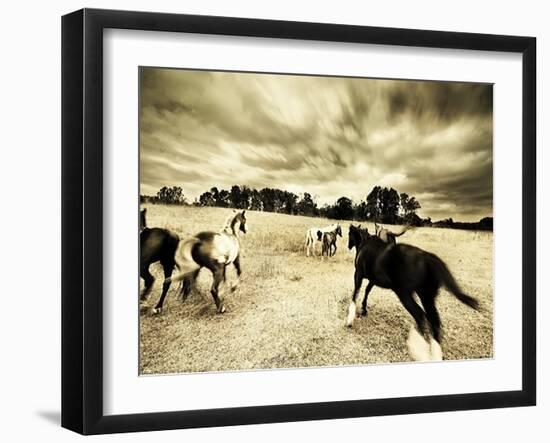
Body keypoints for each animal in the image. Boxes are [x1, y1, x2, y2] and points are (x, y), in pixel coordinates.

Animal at [348, 224, 480, 362]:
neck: (365, 244)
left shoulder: (358, 274)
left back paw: (419, 349)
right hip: (426, 296)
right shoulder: (372, 279)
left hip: (405, 294)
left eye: (349, 234)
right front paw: (364, 310)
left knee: (420, 315)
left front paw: (350, 319)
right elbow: (367, 291)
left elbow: (356, 292)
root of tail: (428, 257)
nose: (348, 245)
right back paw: (434, 353)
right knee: (434, 321)